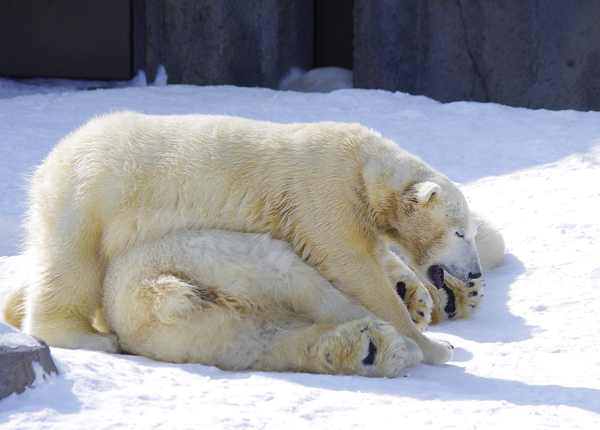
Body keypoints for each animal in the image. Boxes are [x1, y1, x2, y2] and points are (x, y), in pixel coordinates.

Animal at [4, 111, 502, 376]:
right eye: (460, 232)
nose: (474, 271)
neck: (364, 168)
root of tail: (56, 156)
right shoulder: (322, 194)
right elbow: (350, 267)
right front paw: (435, 345)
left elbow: (377, 256)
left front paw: (423, 298)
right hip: (91, 198)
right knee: (71, 264)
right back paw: (86, 337)